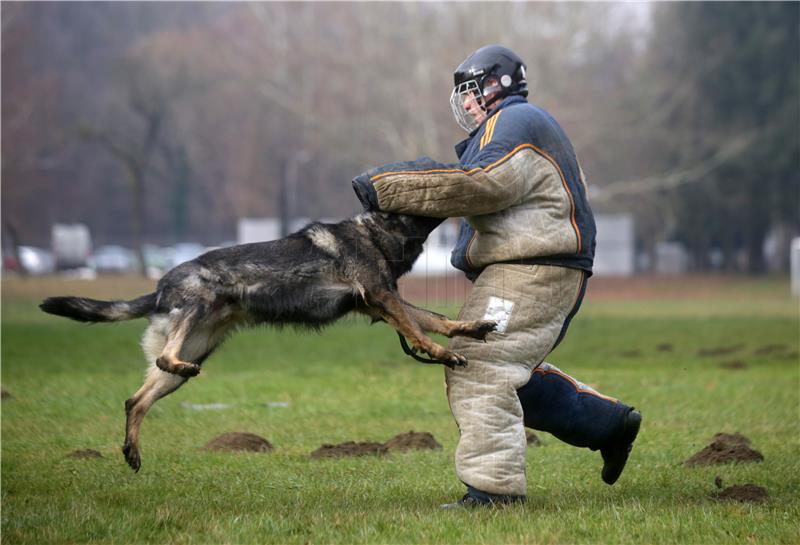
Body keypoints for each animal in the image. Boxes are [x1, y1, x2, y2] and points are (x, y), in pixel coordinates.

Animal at [43, 212, 496, 472]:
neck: (374, 232)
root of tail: (158, 290)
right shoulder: (383, 298)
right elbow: (420, 330)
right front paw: (441, 353)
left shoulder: (381, 304)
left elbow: (436, 319)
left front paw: (470, 329)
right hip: (195, 313)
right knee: (164, 361)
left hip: (189, 356)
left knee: (136, 399)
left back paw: (132, 452)